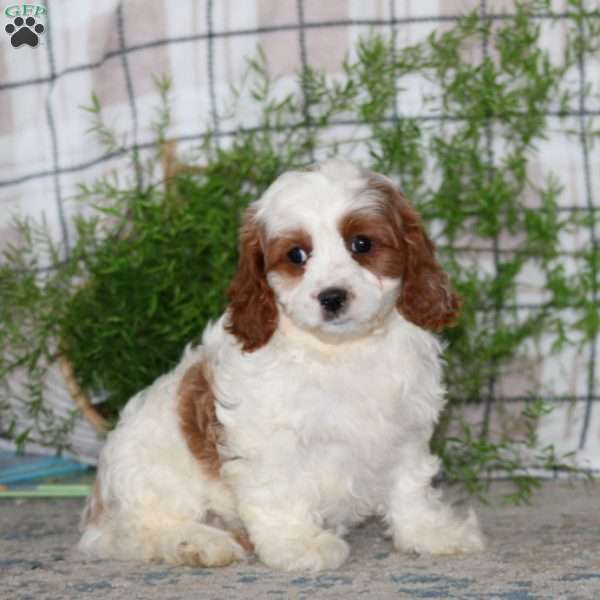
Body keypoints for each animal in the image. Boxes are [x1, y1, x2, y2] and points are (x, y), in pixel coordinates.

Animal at [78, 161, 482, 572]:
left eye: (362, 244)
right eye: (296, 255)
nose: (332, 297)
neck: (343, 350)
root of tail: (98, 504)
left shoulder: (405, 427)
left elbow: (409, 485)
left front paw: (429, 532)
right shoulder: (269, 438)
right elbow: (281, 491)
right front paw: (300, 544)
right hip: (155, 481)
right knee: (135, 534)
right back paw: (199, 542)